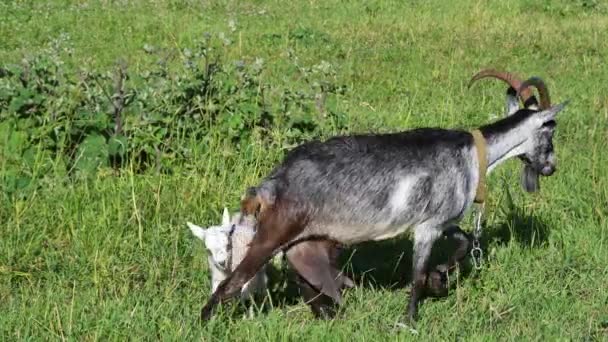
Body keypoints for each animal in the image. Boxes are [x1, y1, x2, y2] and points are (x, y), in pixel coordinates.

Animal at [202, 69, 568, 324]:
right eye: (550, 131)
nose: (551, 167)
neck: (472, 154)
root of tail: (272, 182)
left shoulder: (441, 219)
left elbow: (464, 242)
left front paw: (440, 278)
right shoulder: (426, 228)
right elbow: (416, 274)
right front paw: (410, 319)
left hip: (304, 240)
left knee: (310, 278)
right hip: (275, 230)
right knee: (231, 283)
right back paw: (206, 322)